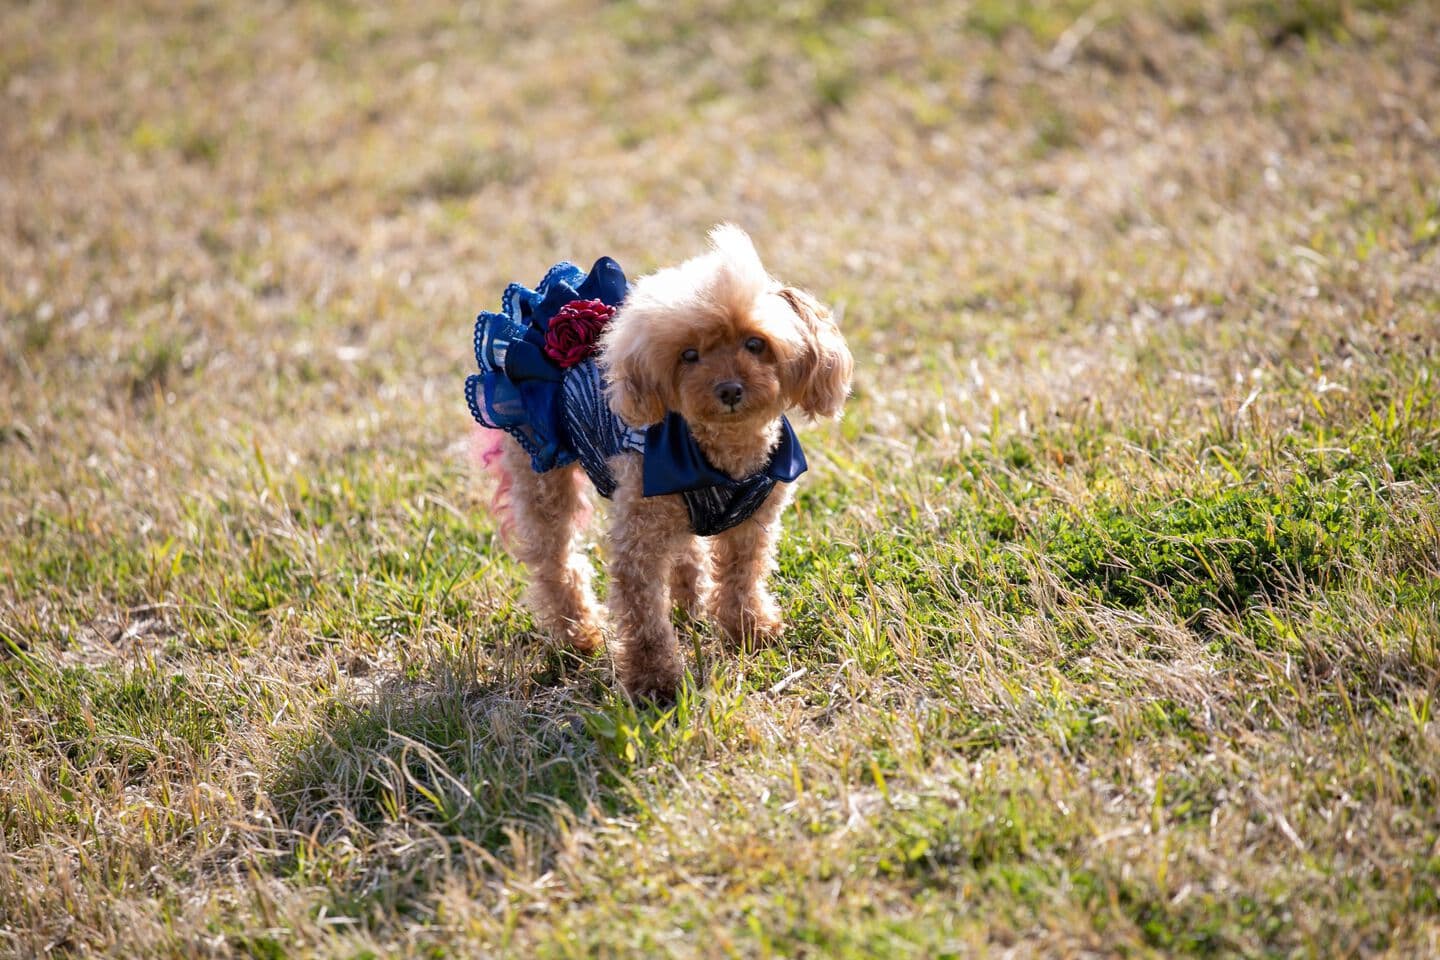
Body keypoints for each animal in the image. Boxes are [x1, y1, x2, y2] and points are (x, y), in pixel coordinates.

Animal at [472, 228, 852, 702]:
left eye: (755, 344)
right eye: (688, 355)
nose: (729, 390)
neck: (718, 455)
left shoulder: (752, 523)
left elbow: (742, 575)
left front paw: (751, 631)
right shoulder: (639, 539)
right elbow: (644, 618)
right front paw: (655, 685)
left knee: (685, 550)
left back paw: (689, 602)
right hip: (541, 469)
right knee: (555, 558)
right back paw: (578, 635)